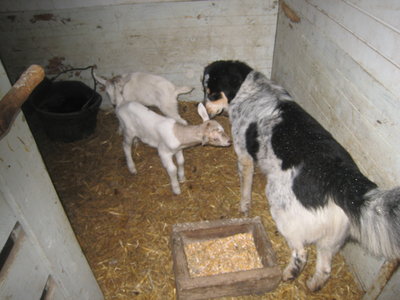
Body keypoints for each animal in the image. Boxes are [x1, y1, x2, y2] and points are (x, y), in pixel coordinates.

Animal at [202, 59, 400, 292]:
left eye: (212, 93)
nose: (205, 111)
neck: (249, 89)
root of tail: (338, 176)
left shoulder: (244, 156)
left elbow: (245, 188)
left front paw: (244, 206)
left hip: (282, 210)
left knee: (301, 254)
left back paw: (288, 274)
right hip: (332, 239)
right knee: (324, 268)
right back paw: (313, 285)